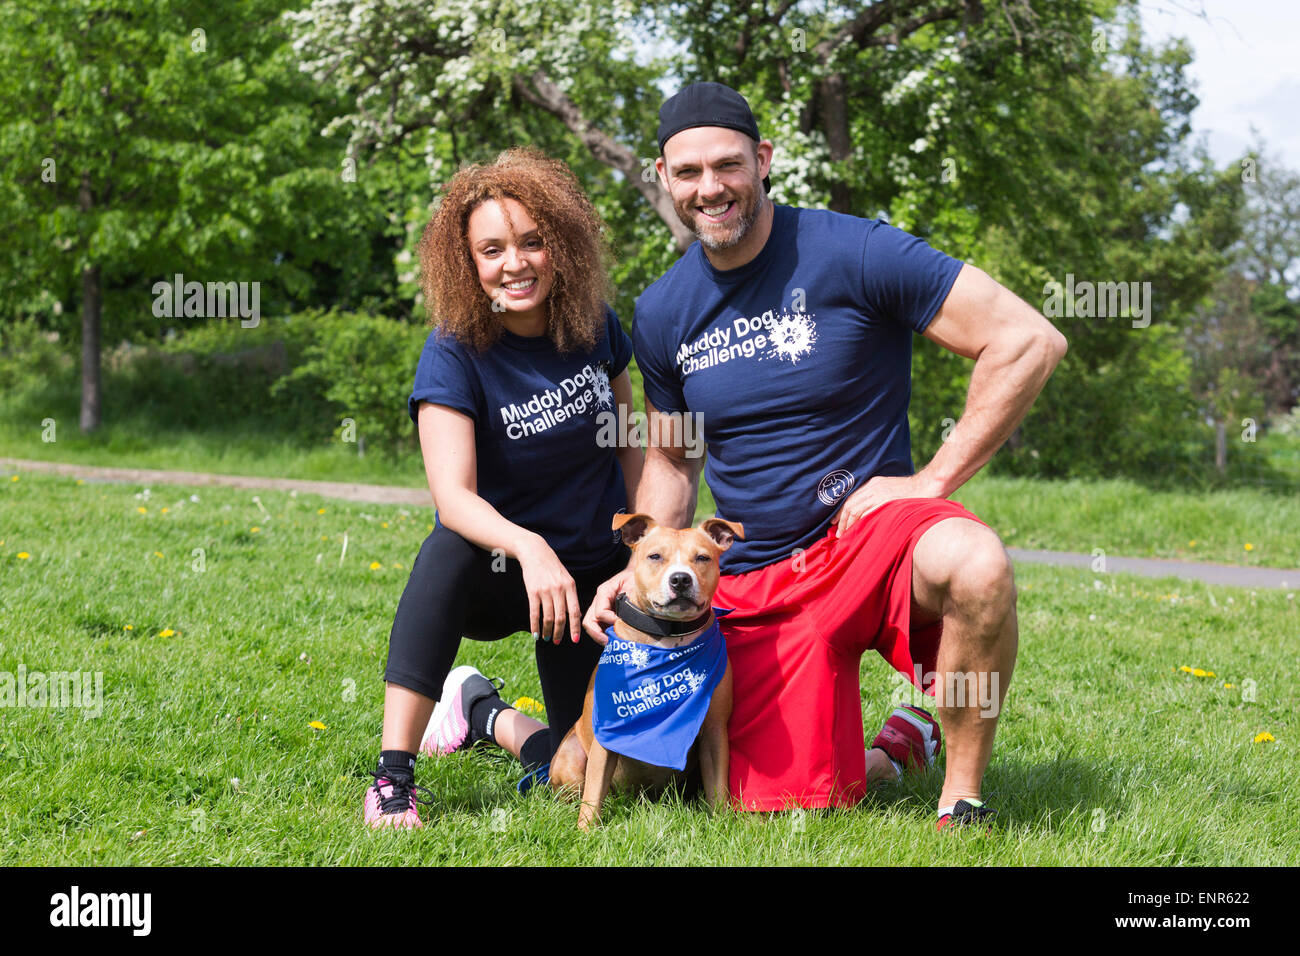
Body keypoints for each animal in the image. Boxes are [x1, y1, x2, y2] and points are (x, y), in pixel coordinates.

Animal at [546, 515, 743, 832]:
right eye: (655, 556)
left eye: (702, 558)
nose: (680, 579)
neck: (670, 637)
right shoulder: (608, 732)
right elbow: (594, 792)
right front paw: (586, 832)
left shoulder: (714, 730)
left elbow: (718, 789)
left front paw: (721, 826)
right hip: (571, 757)